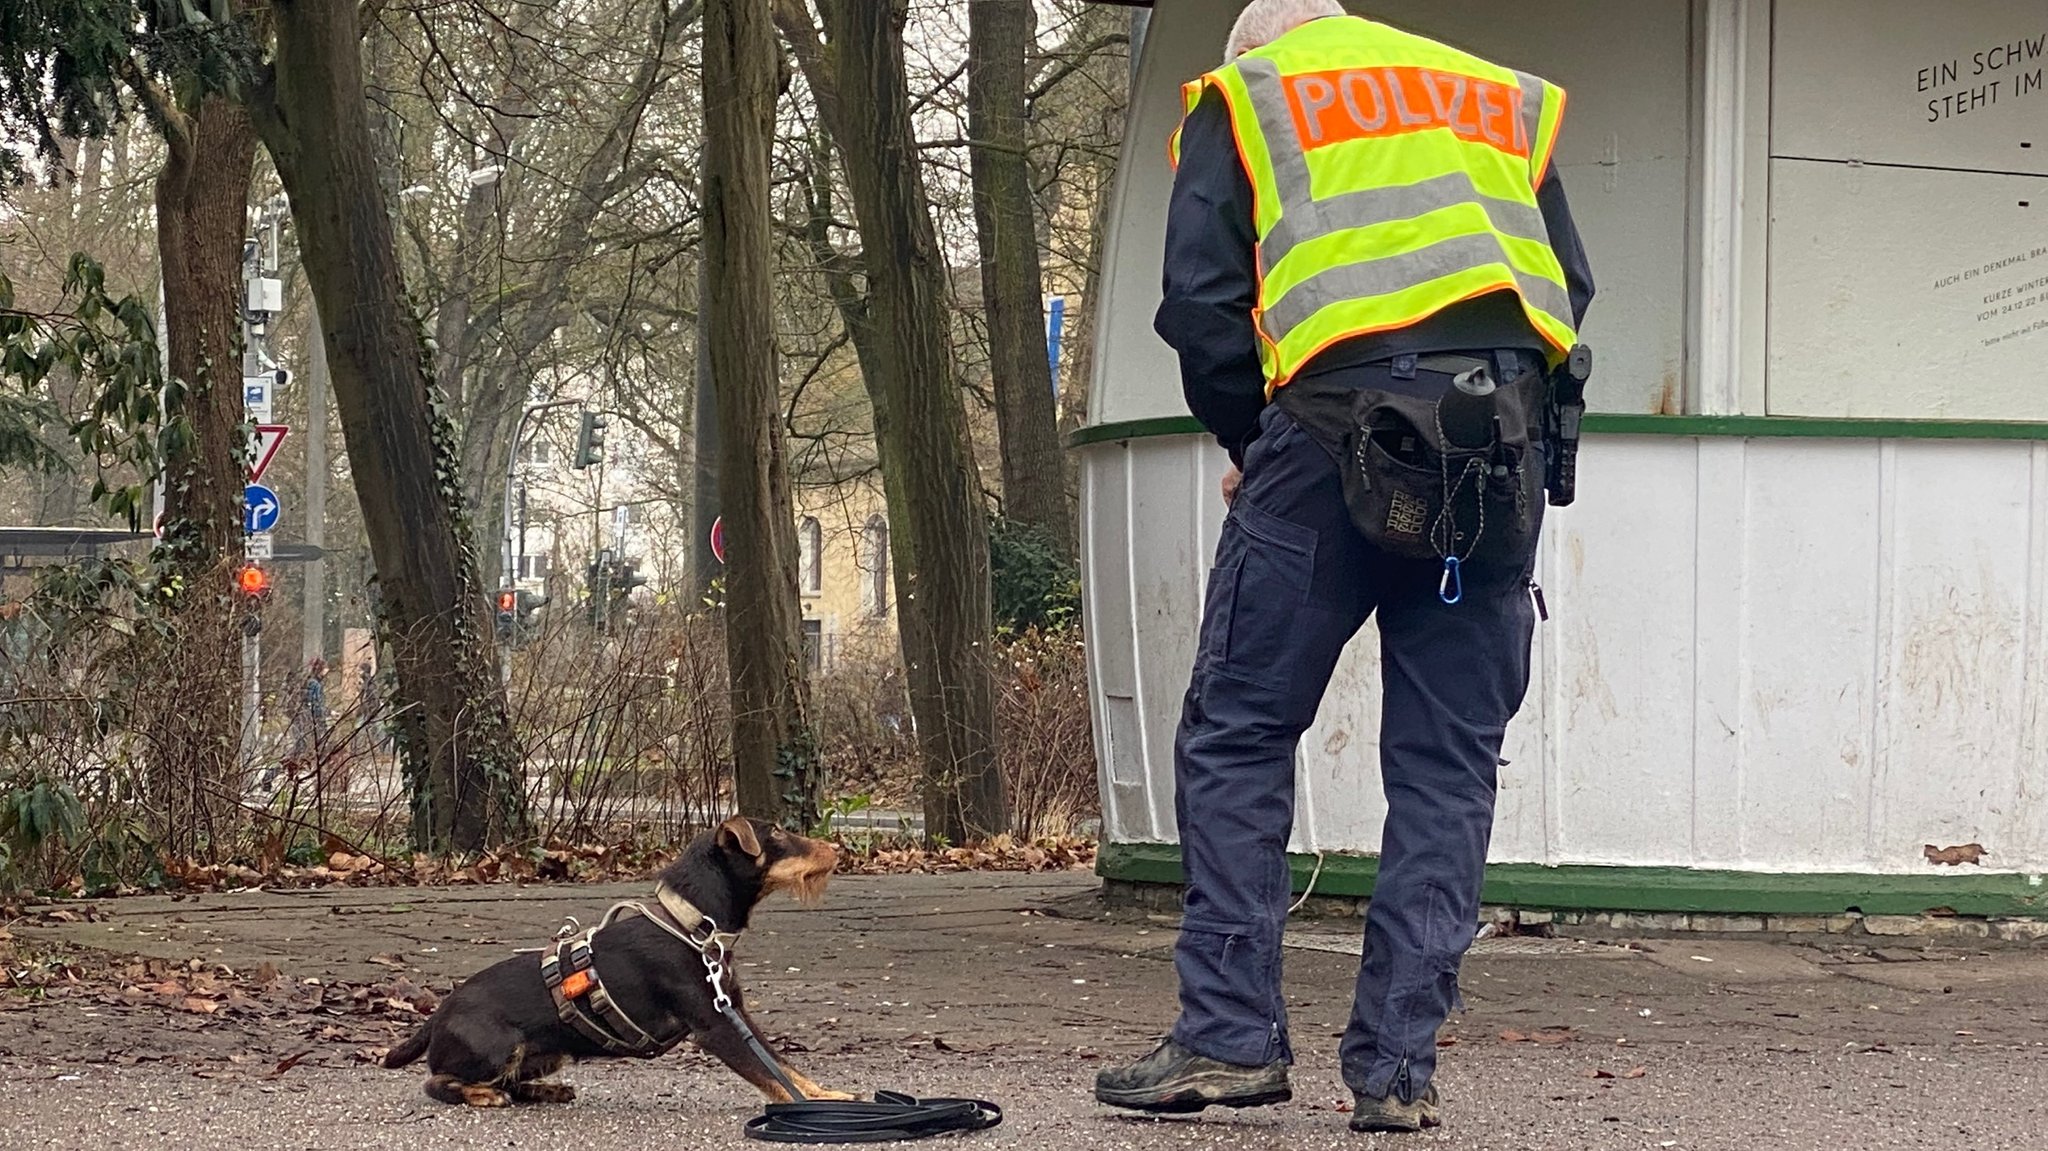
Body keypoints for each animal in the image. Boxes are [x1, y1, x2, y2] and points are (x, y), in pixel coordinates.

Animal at [385, 815, 856, 1105]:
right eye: (776, 833)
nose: (837, 849)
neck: (693, 924)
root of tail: (438, 1014)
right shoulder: (714, 1025)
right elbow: (768, 1074)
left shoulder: (735, 1010)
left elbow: (783, 1065)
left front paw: (826, 1096)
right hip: (498, 1047)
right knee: (439, 1082)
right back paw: (482, 1094)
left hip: (548, 1053)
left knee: (513, 1083)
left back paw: (547, 1092)